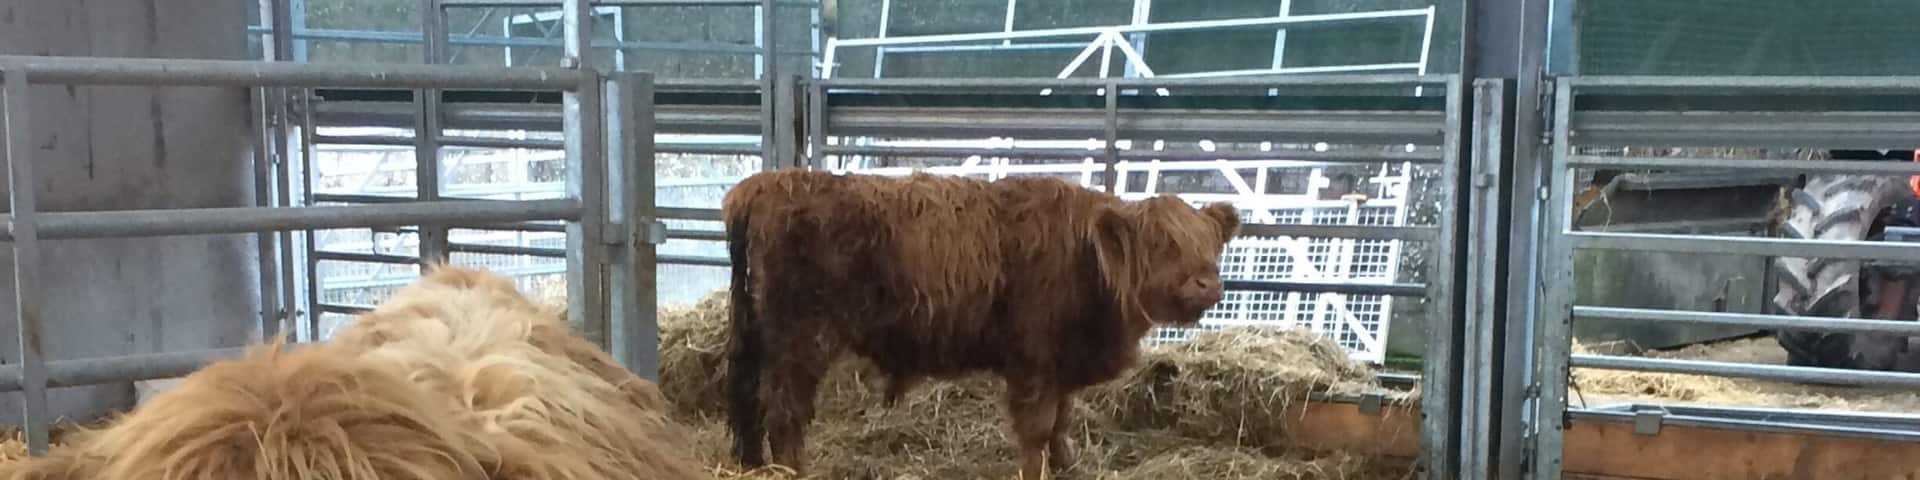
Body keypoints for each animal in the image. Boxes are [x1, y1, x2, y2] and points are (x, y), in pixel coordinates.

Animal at [722, 168, 1241, 479]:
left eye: (1210, 244)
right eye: (1162, 244)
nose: (1206, 284)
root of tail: (770, 182)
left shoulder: (1061, 364)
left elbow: (1062, 423)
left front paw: (1066, 465)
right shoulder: (1034, 361)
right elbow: (1038, 429)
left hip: (761, 334)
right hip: (801, 338)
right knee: (785, 413)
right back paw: (795, 471)